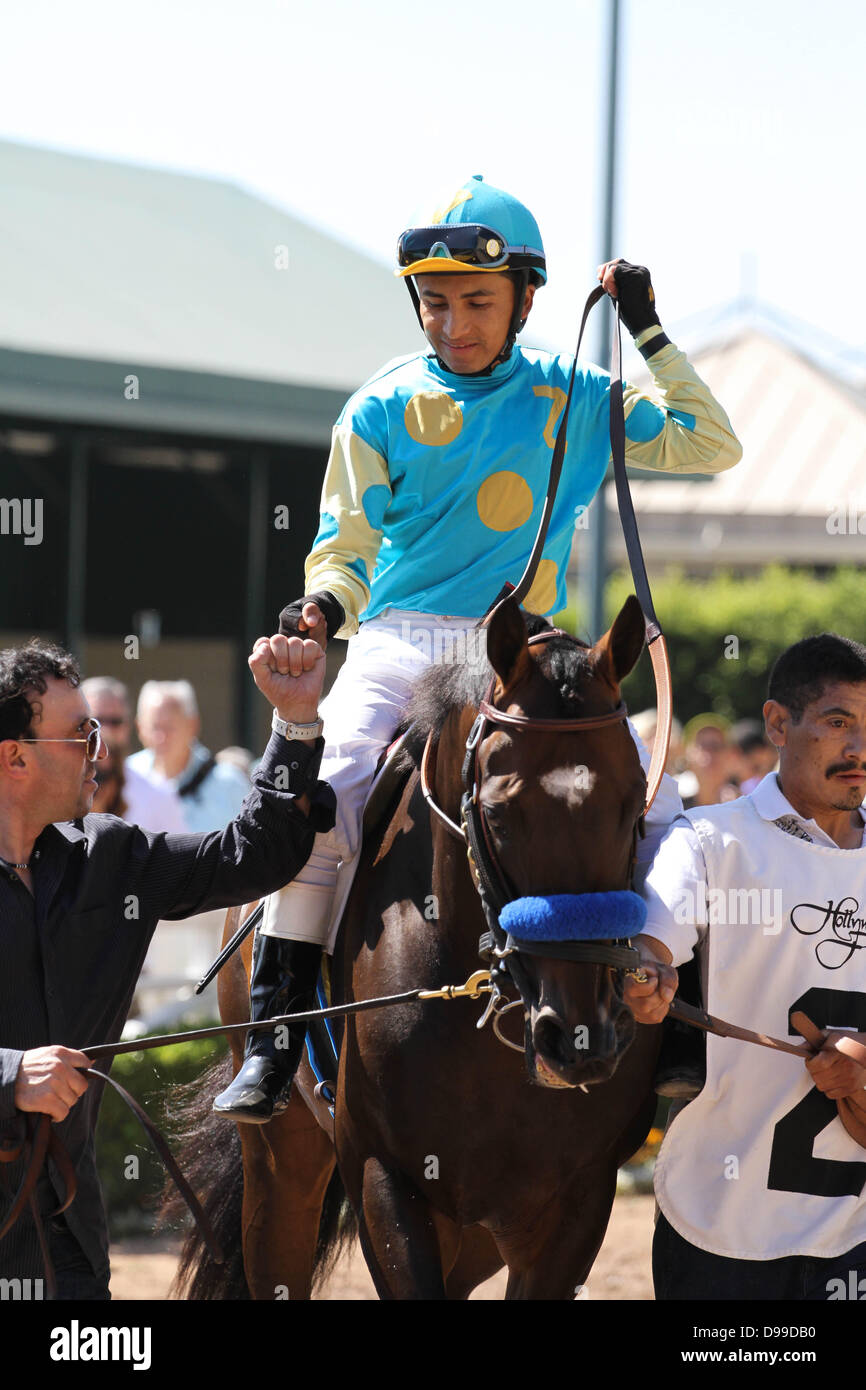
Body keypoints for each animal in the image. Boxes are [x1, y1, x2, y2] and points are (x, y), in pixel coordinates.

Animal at [174, 592, 664, 1295]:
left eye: (634, 804)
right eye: (499, 813)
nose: (579, 1037)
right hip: (283, 1164)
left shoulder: (577, 1199)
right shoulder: (384, 1177)